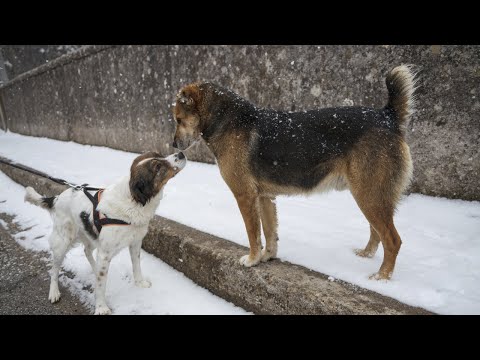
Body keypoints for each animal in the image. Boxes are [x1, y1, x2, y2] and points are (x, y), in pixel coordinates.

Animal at [23, 150, 186, 314]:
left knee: (87, 251)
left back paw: (94, 269)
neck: (133, 202)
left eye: (158, 154)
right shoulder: (105, 252)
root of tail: (56, 198)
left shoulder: (135, 242)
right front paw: (101, 307)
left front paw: (140, 283)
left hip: (91, 235)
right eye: (158, 166)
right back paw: (54, 291)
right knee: (54, 269)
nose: (181, 153)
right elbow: (100, 286)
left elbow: (136, 265)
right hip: (62, 242)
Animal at [172, 66, 416, 280]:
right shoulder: (265, 197)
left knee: (393, 240)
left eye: (178, 119)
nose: (173, 146)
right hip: (370, 195)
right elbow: (270, 233)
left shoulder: (245, 196)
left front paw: (252, 260)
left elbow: (253, 234)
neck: (226, 120)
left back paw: (382, 277)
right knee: (377, 233)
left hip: (369, 195)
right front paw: (266, 257)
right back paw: (366, 255)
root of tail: (387, 116)